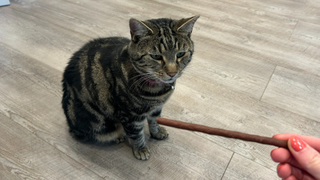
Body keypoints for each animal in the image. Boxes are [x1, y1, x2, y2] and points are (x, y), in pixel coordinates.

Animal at [61, 15, 199, 159]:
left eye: (180, 54)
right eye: (156, 56)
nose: (172, 73)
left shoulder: (156, 108)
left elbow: (154, 120)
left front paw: (156, 132)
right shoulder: (131, 115)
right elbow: (136, 134)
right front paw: (141, 149)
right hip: (99, 125)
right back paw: (118, 136)